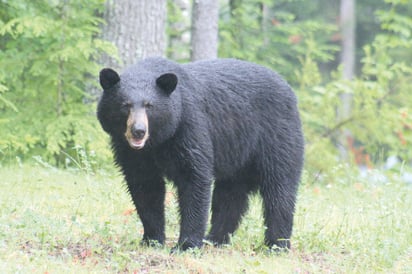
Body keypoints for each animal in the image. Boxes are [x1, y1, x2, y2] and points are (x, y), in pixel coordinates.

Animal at [96, 56, 302, 252]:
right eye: (125, 105)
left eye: (149, 106)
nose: (138, 131)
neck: (157, 142)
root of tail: (288, 87)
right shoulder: (132, 152)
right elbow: (145, 188)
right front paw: (151, 240)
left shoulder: (188, 125)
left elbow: (193, 178)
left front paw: (186, 245)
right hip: (237, 155)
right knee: (230, 195)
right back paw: (215, 238)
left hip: (276, 136)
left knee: (279, 189)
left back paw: (277, 245)